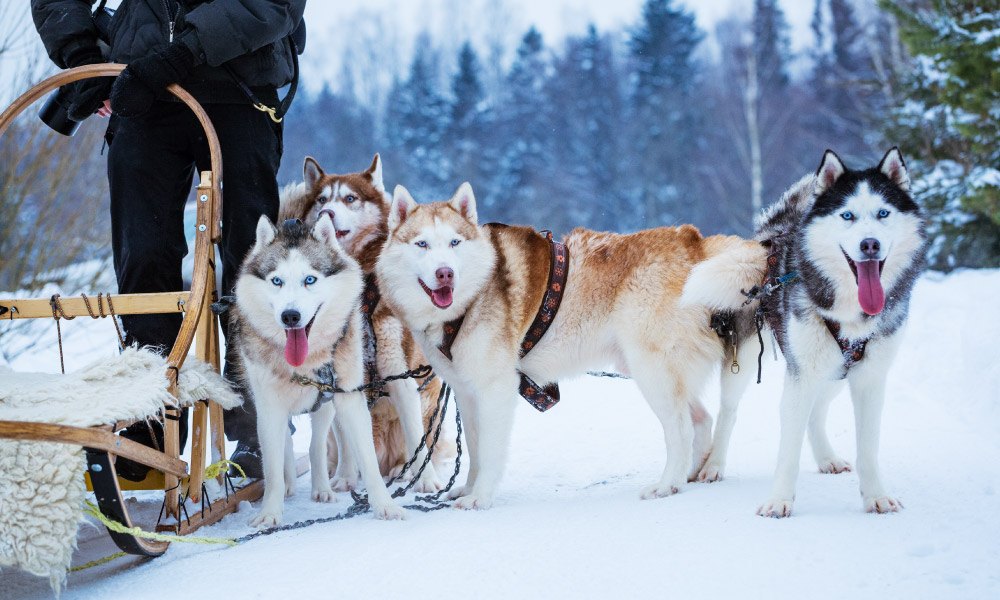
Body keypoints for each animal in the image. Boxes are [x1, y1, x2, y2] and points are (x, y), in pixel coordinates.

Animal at [230, 212, 406, 524]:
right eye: (276, 281)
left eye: (309, 279)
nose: (290, 316)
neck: (307, 363)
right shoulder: (269, 407)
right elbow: (272, 468)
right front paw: (270, 513)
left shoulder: (349, 396)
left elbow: (367, 460)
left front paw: (385, 505)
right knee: (287, 445)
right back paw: (291, 483)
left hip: (328, 401)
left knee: (318, 442)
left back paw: (323, 487)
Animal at [282, 155, 454, 492]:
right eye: (321, 200)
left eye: (350, 198)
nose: (327, 212)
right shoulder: (341, 377)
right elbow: (347, 437)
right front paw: (345, 478)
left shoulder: (398, 370)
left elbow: (417, 437)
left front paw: (426, 481)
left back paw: (405, 471)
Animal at [376, 184, 764, 510]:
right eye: (422, 244)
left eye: (455, 243)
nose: (445, 273)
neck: (470, 299)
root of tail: (693, 241)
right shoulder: (468, 394)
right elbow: (474, 450)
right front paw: (469, 489)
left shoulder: (495, 390)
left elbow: (489, 452)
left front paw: (481, 497)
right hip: (654, 370)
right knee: (701, 418)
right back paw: (689, 475)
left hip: (651, 372)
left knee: (681, 428)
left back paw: (668, 484)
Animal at [684, 149, 924, 516]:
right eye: (847, 215)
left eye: (883, 213)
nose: (870, 244)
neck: (850, 311)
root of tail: (772, 234)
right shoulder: (802, 374)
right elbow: (788, 449)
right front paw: (779, 500)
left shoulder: (869, 377)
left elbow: (868, 447)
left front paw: (876, 496)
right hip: (750, 360)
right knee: (729, 412)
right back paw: (714, 464)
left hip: (835, 370)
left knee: (818, 409)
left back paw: (826, 457)